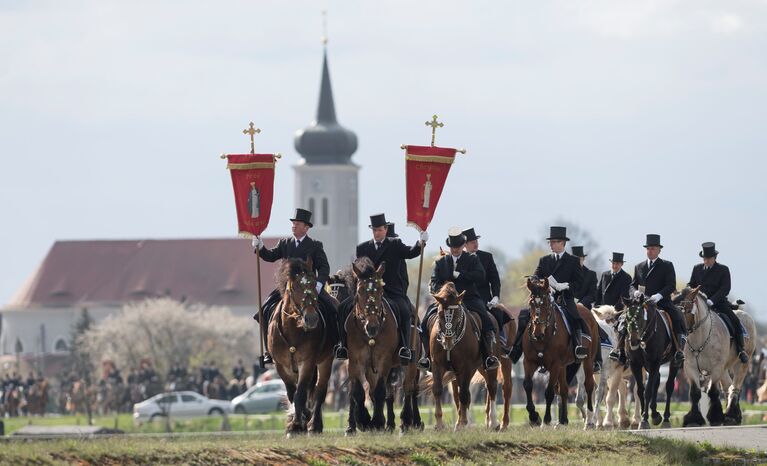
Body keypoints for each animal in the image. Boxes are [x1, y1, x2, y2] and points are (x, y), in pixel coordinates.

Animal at [268, 256, 334, 436]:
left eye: (314, 285)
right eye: (295, 287)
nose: (311, 319)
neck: (292, 328)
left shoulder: (307, 362)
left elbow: (301, 393)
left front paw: (298, 424)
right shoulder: (281, 365)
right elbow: (292, 393)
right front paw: (296, 422)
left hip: (326, 360)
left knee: (320, 390)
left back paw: (315, 425)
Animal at [426, 282, 504, 432]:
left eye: (457, 315)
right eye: (439, 314)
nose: (448, 342)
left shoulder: (466, 367)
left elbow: (463, 394)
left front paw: (462, 424)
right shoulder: (437, 364)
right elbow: (438, 390)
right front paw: (439, 424)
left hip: (487, 366)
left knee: (491, 387)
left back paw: (493, 422)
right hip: (476, 368)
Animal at [520, 276, 604, 430]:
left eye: (547, 304)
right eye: (531, 303)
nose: (537, 333)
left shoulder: (554, 365)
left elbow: (549, 392)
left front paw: (546, 420)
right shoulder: (529, 362)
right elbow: (528, 385)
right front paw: (534, 417)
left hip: (587, 360)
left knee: (589, 385)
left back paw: (589, 421)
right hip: (564, 366)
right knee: (564, 389)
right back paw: (562, 421)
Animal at [624, 294, 680, 430]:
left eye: (639, 316)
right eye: (627, 318)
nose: (633, 341)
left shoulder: (654, 362)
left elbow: (648, 390)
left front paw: (644, 420)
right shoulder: (635, 364)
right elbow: (640, 390)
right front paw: (643, 416)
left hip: (673, 362)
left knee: (669, 386)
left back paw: (665, 419)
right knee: (657, 381)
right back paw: (655, 415)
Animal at [676, 288, 760, 426]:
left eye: (687, 310)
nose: (681, 331)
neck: (701, 337)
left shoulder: (716, 368)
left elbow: (713, 391)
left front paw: (715, 417)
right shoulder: (690, 368)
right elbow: (695, 393)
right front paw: (693, 420)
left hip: (742, 364)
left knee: (735, 387)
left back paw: (731, 415)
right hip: (724, 368)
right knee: (728, 387)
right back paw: (733, 415)